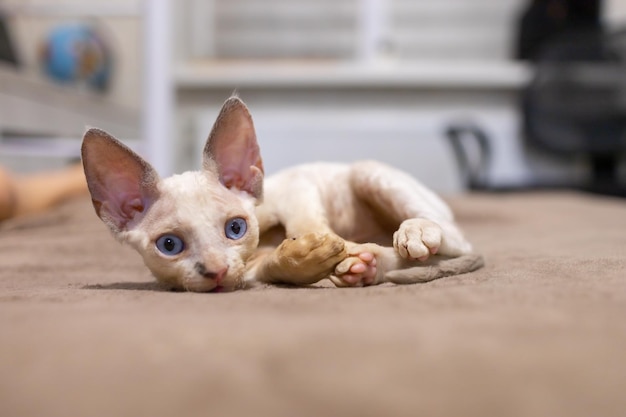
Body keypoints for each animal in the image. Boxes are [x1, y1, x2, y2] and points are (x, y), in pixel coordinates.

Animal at [81, 96, 482, 292]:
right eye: (169, 245)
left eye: (236, 228)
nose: (215, 271)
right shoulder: (248, 272)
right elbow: (271, 267)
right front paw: (307, 260)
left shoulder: (294, 187)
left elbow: (308, 226)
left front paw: (335, 250)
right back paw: (368, 267)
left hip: (367, 172)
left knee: (454, 241)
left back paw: (412, 234)